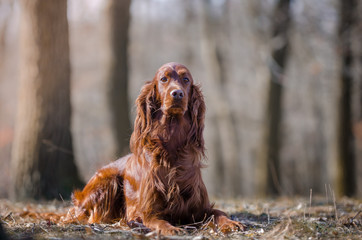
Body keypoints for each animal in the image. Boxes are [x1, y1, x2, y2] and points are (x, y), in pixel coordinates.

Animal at [66, 62, 245, 235]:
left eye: (186, 79)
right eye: (163, 79)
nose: (177, 93)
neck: (173, 147)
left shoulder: (200, 208)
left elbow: (218, 212)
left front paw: (231, 223)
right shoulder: (147, 212)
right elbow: (158, 221)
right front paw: (171, 228)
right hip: (108, 182)